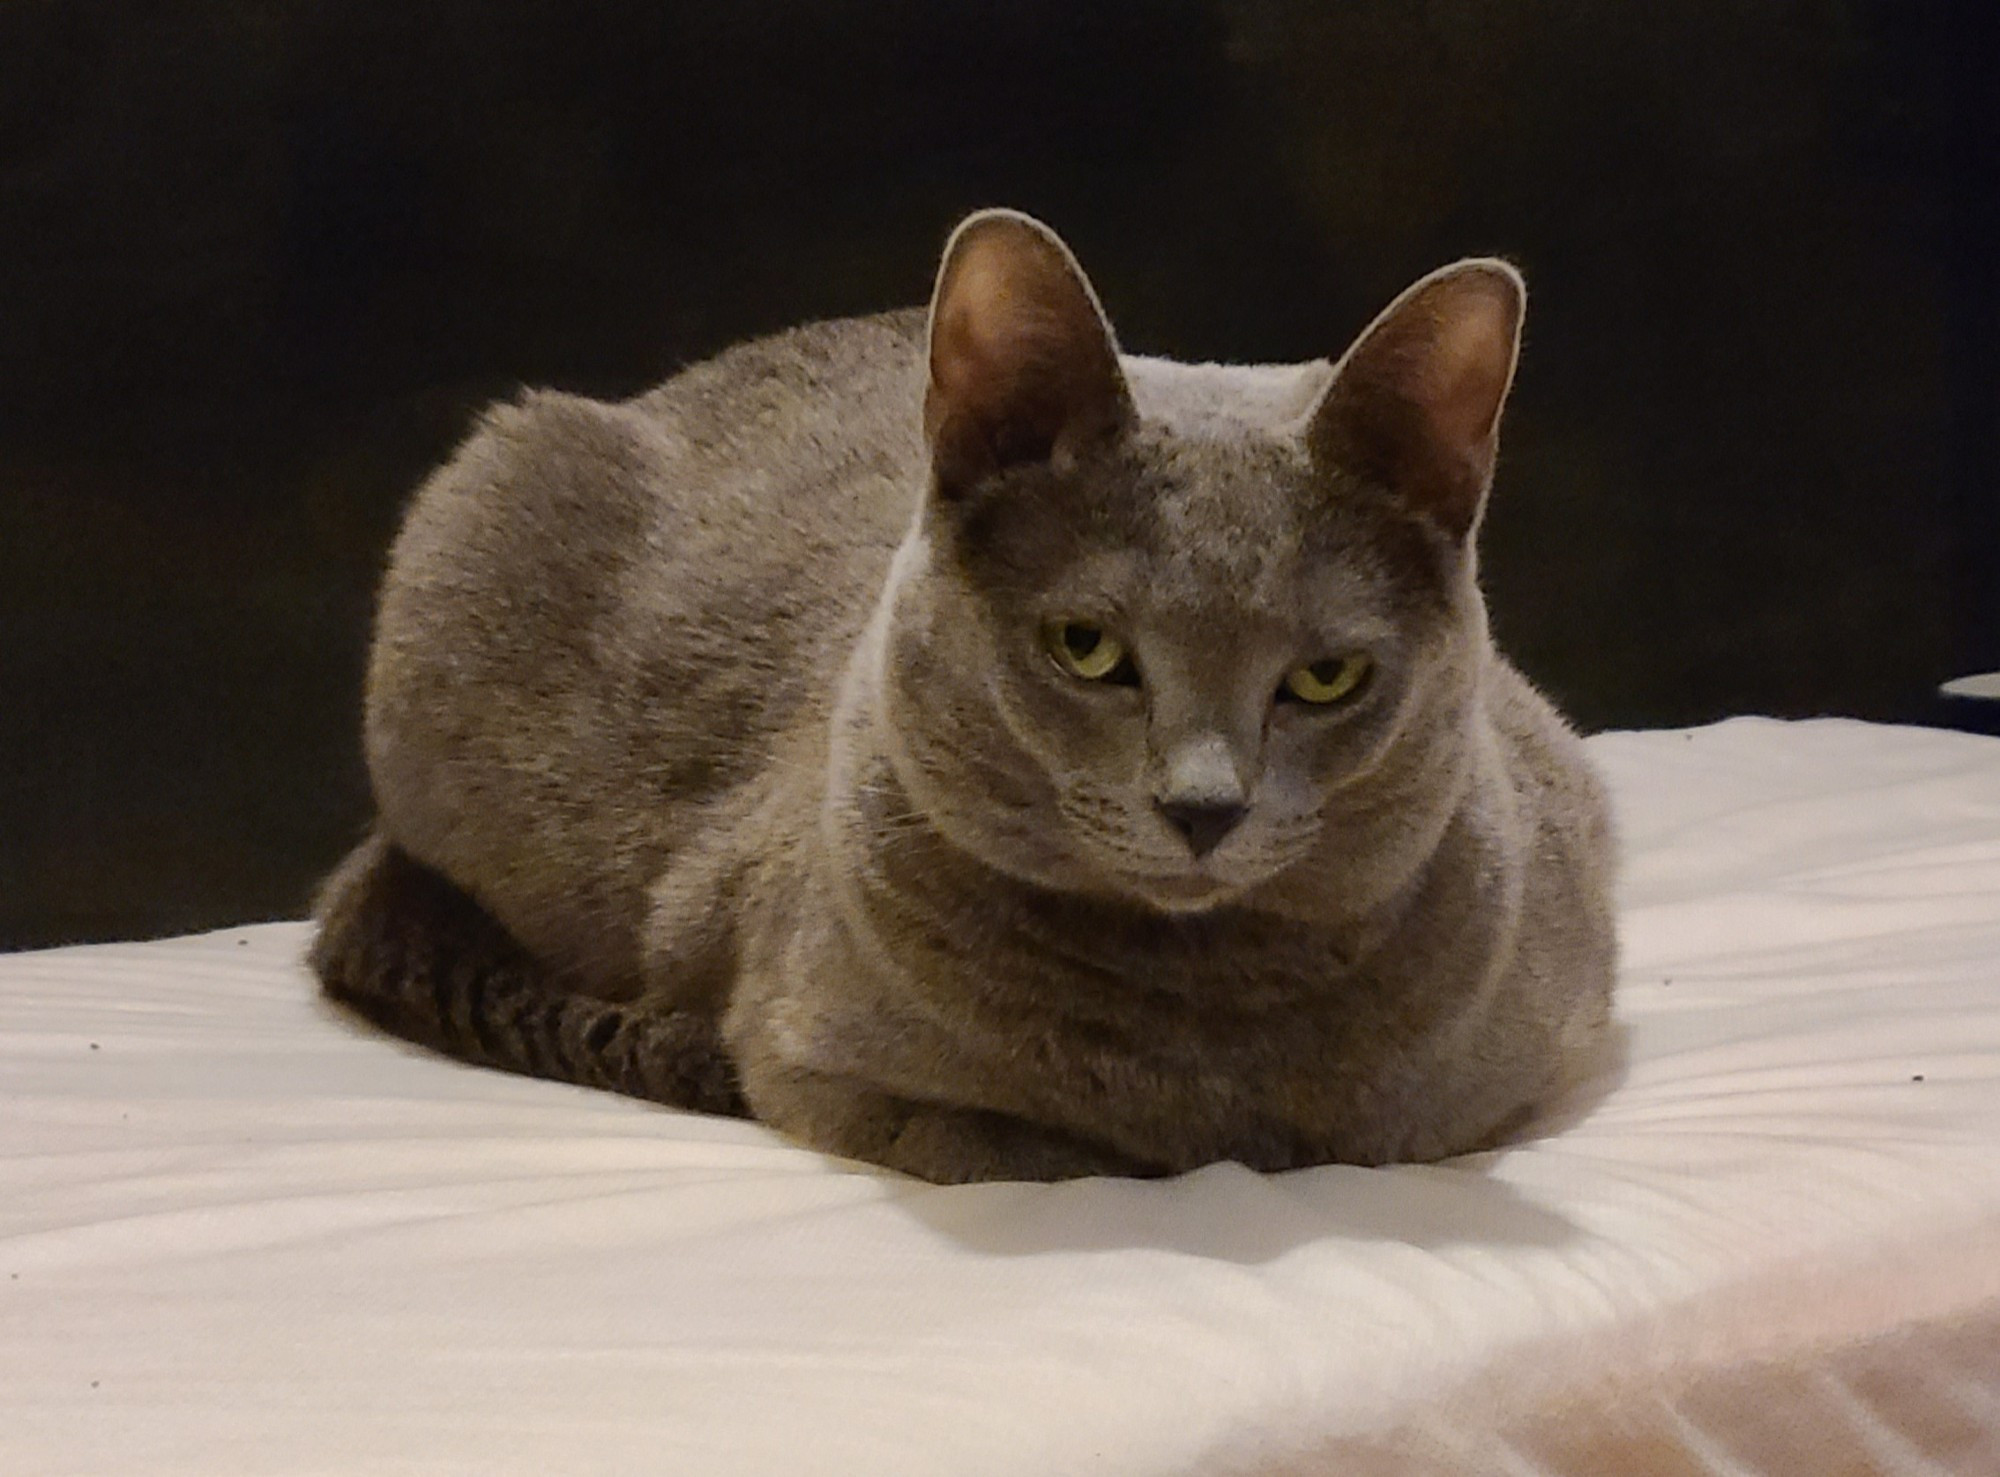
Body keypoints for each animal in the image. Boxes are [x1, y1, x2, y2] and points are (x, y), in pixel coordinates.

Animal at [316, 207, 1624, 1176]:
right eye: (1085, 647)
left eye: (1324, 675)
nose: (1204, 808)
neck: (1202, 1032)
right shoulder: (828, 1067)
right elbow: (1031, 1149)